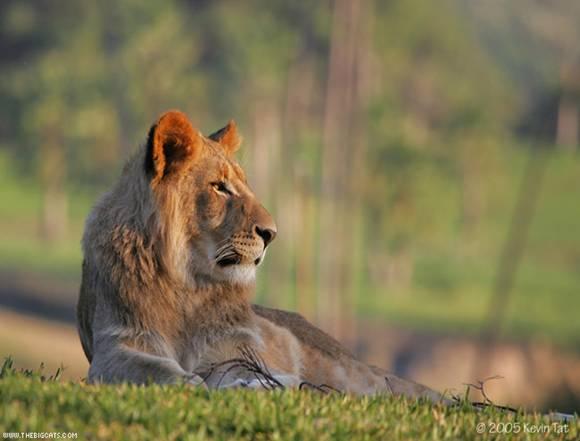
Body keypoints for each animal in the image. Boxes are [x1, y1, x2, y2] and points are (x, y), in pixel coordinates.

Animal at [77, 111, 446, 402]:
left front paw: (263, 384)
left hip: (353, 372)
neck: (187, 283)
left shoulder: (232, 348)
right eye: (220, 187)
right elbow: (154, 369)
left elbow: (249, 371)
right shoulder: (117, 343)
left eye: (244, 185)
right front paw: (192, 384)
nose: (271, 233)